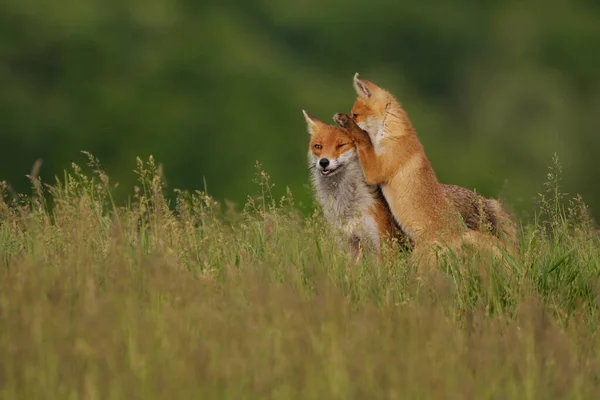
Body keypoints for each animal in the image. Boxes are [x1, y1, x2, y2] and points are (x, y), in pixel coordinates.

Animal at [336, 74, 516, 270]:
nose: (339, 131)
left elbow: (363, 139)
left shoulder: (376, 170)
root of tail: (458, 232)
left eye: (355, 115)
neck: (390, 134)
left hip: (418, 262)